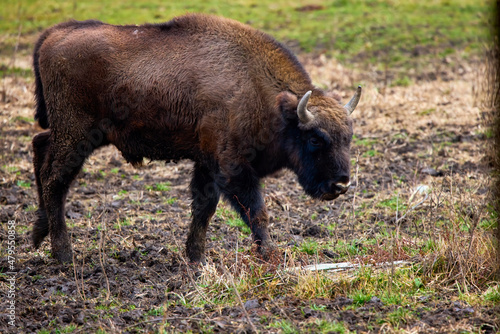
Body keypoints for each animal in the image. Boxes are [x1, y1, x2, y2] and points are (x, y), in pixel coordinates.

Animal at [30, 13, 360, 264]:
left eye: (348, 138)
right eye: (316, 139)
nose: (341, 184)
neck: (261, 92)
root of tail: (55, 34)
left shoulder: (207, 164)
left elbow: (204, 208)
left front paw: (196, 257)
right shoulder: (232, 167)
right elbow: (256, 211)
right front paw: (270, 255)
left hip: (72, 134)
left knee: (39, 147)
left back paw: (38, 235)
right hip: (76, 136)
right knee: (54, 181)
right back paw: (63, 255)